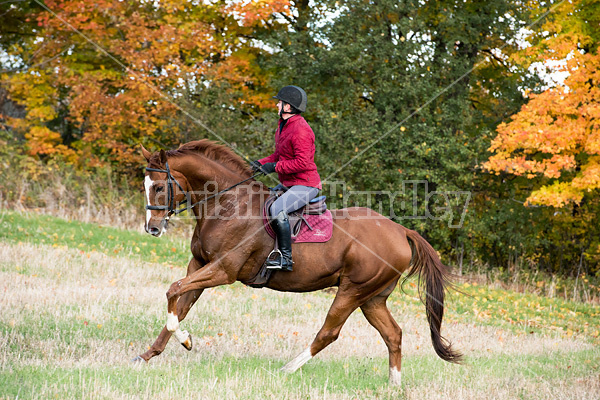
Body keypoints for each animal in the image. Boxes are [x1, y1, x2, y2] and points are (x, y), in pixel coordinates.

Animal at [137, 140, 464, 384]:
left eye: (159, 187)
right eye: (146, 186)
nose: (152, 228)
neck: (226, 204)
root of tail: (401, 231)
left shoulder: (223, 270)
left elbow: (173, 290)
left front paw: (183, 340)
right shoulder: (199, 265)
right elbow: (180, 302)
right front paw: (151, 353)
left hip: (352, 290)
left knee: (329, 332)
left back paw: (287, 369)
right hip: (373, 298)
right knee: (393, 334)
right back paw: (393, 385)